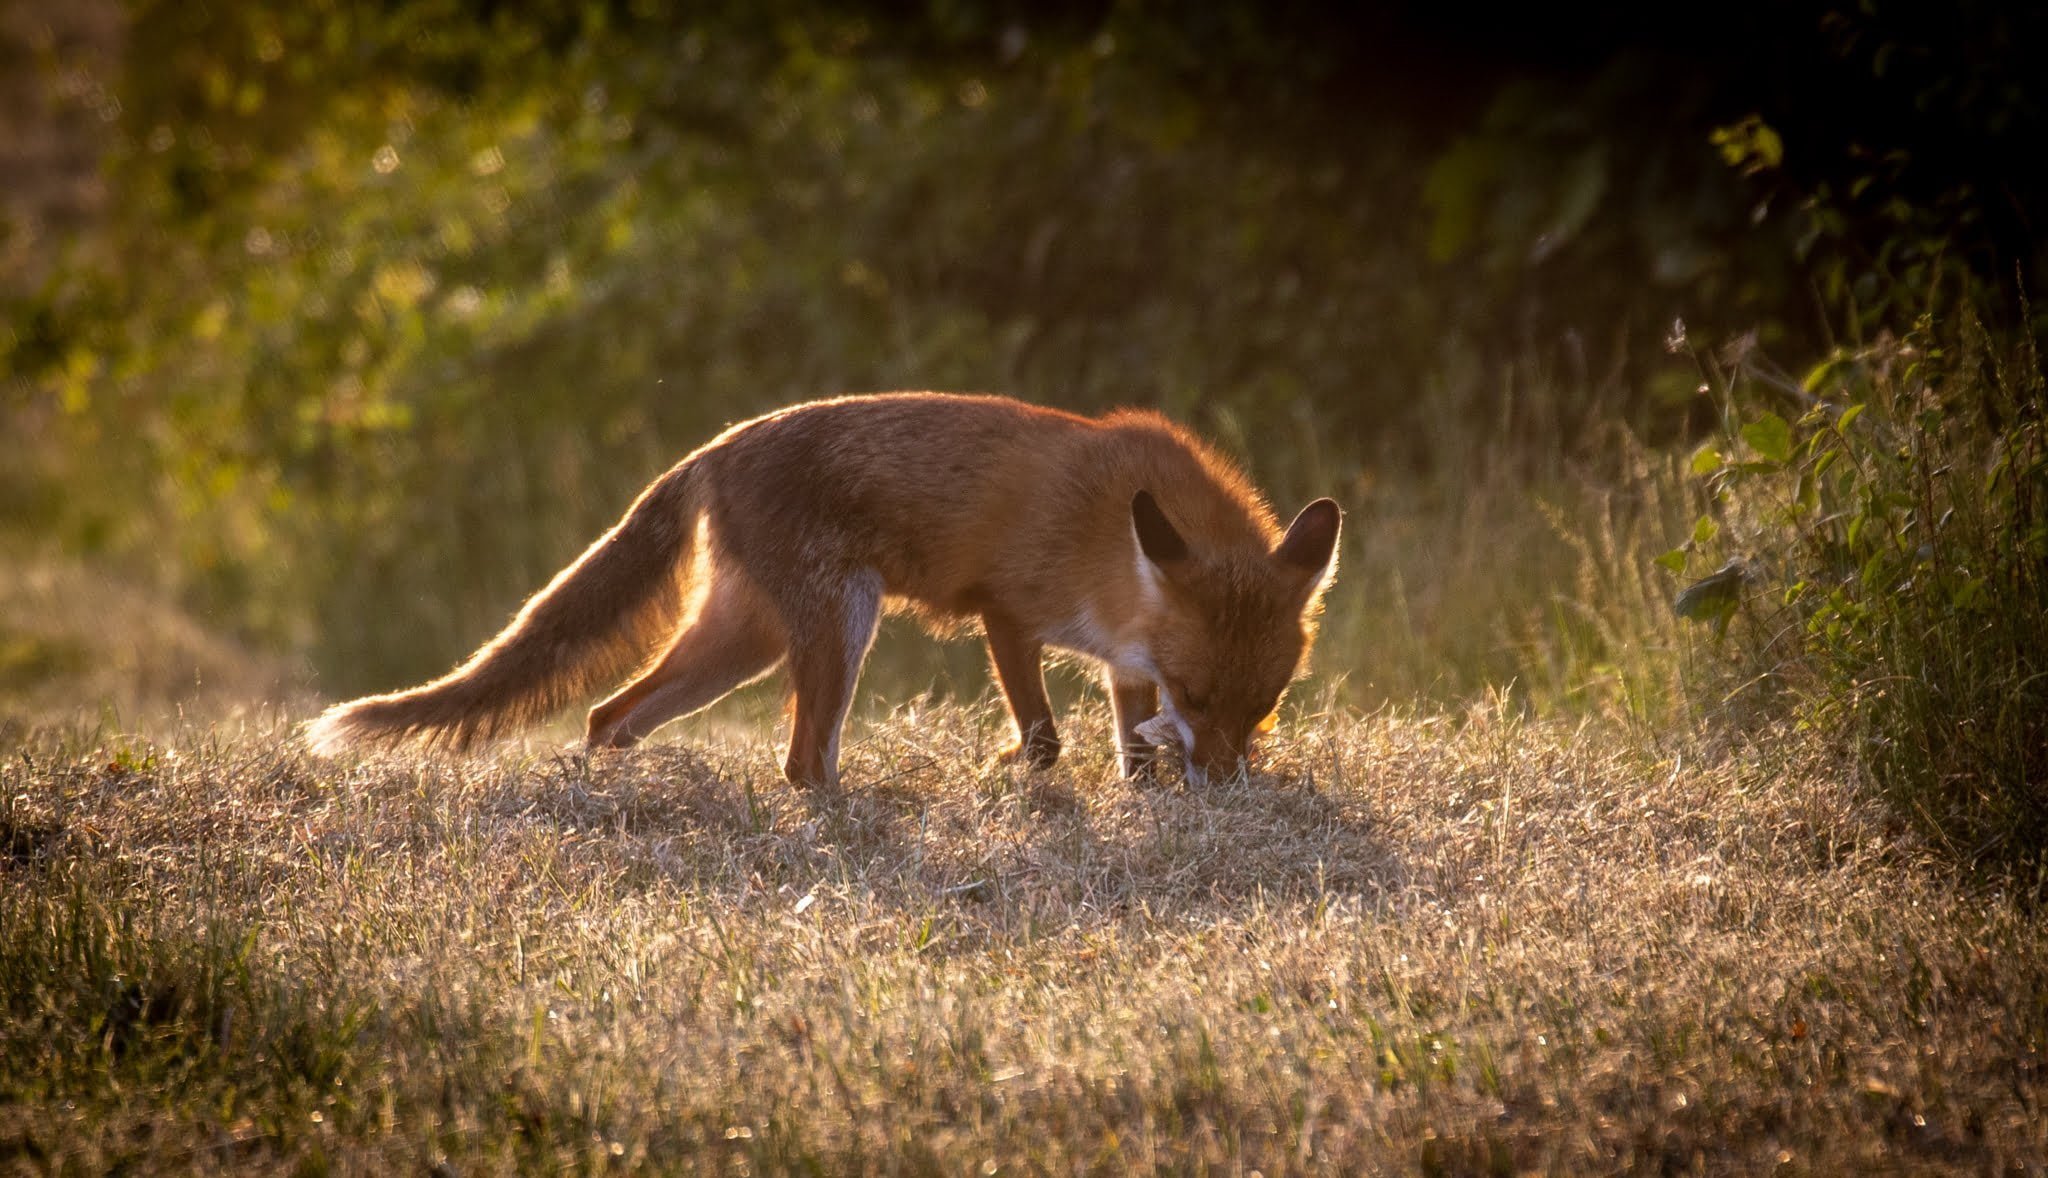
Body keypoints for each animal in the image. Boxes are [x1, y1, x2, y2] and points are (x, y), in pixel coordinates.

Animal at [307, 393, 1341, 788]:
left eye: (1264, 705)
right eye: (1199, 695)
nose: (1230, 784)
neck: (1109, 541)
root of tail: (716, 445)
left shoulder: (1128, 661)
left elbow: (1128, 743)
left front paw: (1149, 790)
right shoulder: (1006, 612)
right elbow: (1046, 740)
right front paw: (1023, 776)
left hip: (747, 642)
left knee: (611, 714)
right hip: (839, 624)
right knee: (800, 760)